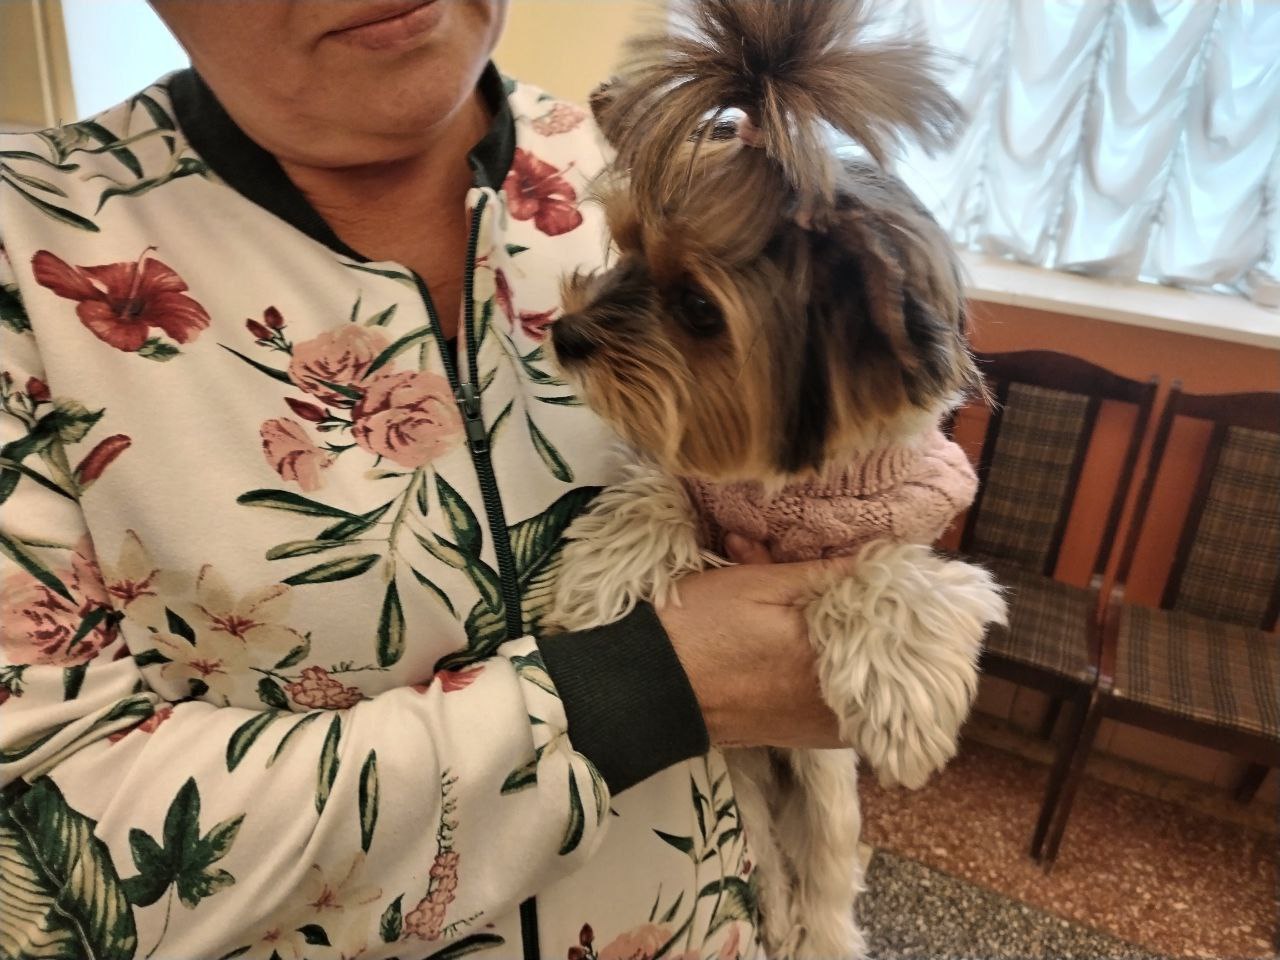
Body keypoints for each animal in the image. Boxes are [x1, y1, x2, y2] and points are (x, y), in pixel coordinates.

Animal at [545, 2, 1007, 956]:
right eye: (623, 248)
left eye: (696, 306)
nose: (566, 335)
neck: (786, 480)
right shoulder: (693, 480)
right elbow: (658, 489)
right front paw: (603, 578)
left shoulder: (910, 518)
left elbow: (891, 575)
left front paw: (902, 688)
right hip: (749, 789)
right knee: (768, 864)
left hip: (826, 794)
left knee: (826, 883)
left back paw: (819, 933)